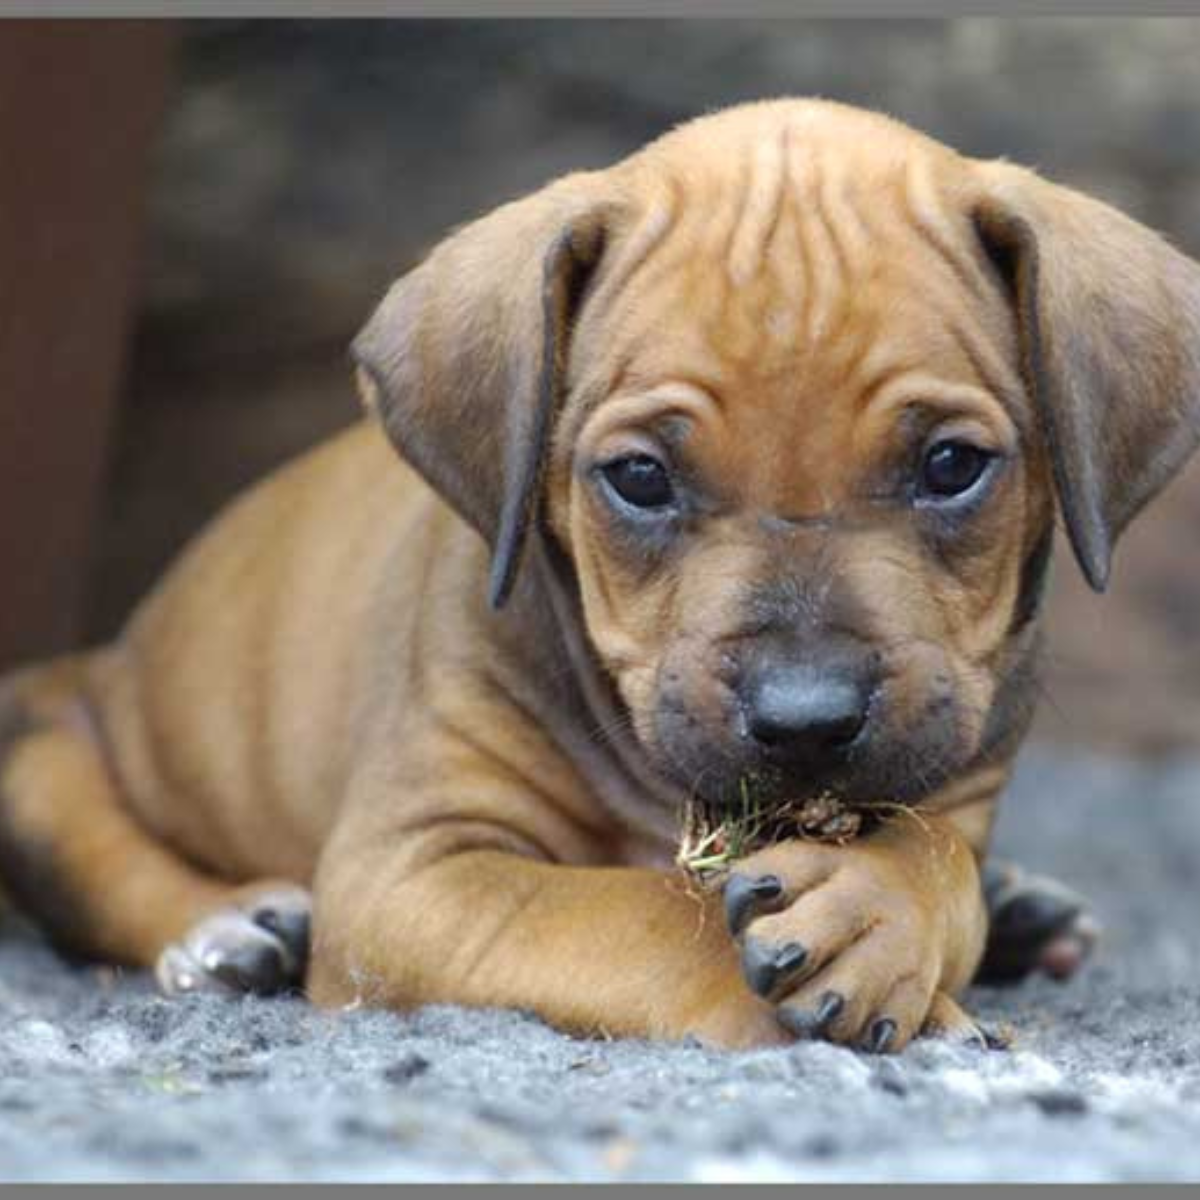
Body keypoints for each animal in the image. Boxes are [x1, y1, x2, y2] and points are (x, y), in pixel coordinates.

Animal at [2, 99, 1197, 1052]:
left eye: (951, 466)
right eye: (639, 478)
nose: (806, 719)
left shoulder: (961, 770)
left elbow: (936, 852)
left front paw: (881, 916)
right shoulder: (418, 872)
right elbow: (642, 912)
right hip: (51, 759)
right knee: (97, 849)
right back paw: (226, 931)